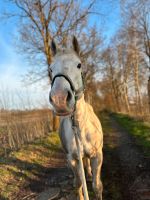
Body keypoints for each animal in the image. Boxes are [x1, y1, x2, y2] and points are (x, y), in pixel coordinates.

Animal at [49, 36, 103, 199]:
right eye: (51, 69)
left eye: (79, 65)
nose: (59, 99)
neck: (79, 125)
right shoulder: (72, 159)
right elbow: (79, 183)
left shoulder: (97, 155)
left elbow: (97, 186)